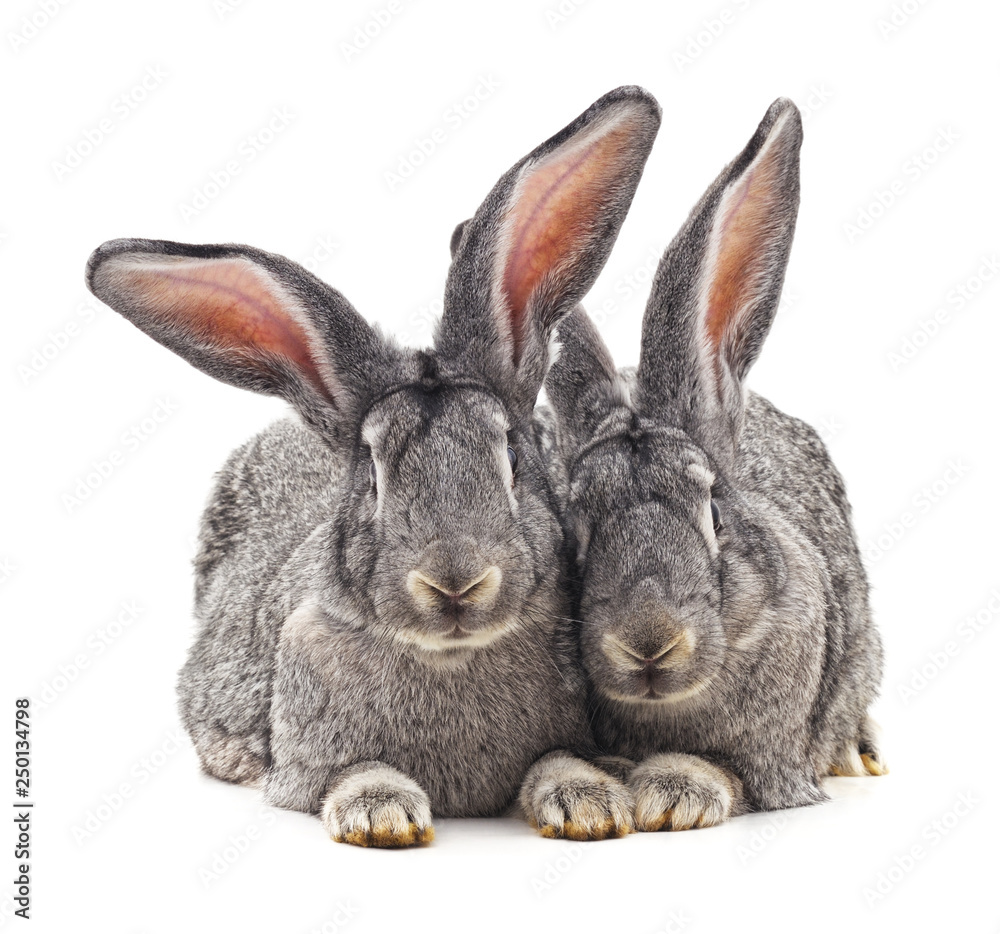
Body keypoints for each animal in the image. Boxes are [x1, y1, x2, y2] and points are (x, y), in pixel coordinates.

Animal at [84, 86, 662, 846]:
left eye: (514, 458)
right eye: (373, 476)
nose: (455, 583)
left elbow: (557, 759)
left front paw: (590, 804)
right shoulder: (304, 762)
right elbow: (349, 772)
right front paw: (381, 814)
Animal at [543, 98, 886, 832]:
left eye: (713, 513)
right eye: (575, 530)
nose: (648, 642)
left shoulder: (773, 759)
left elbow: (732, 773)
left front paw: (674, 795)